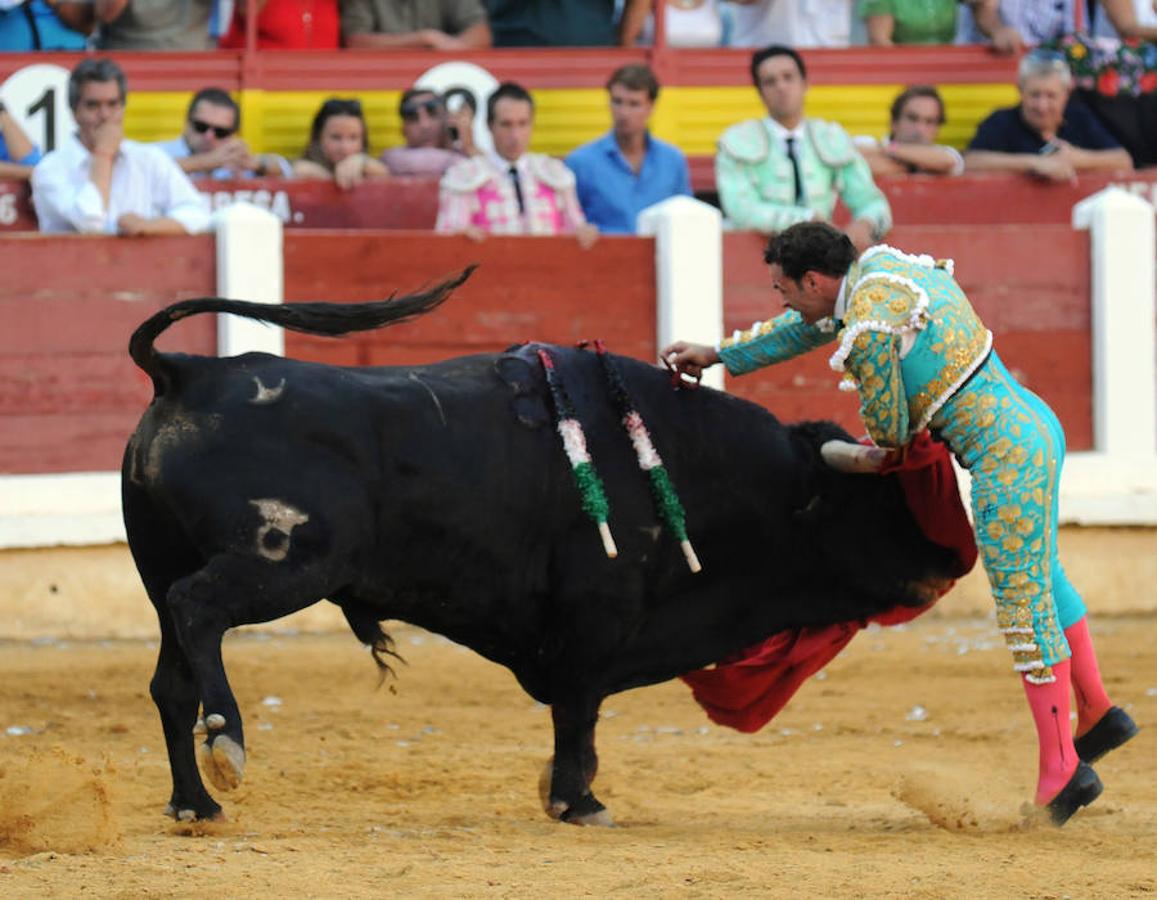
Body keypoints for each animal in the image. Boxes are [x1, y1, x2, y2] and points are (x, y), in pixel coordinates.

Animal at [124, 269, 957, 823]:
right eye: (872, 503)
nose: (950, 563)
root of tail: (186, 372)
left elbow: (573, 713)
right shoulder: (596, 616)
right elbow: (578, 711)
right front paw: (577, 800)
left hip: (162, 569)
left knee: (171, 677)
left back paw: (193, 803)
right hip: (284, 560)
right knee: (199, 612)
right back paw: (226, 748)